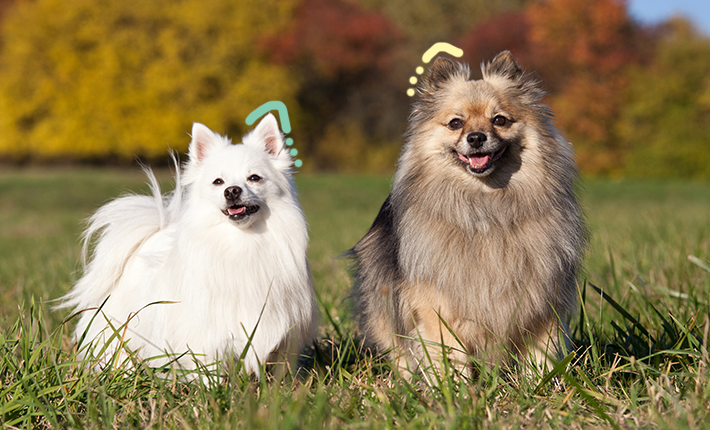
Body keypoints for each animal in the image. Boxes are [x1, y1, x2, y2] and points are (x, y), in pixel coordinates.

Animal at [61, 113, 318, 376]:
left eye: (254, 178)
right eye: (218, 182)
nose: (231, 191)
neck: (242, 241)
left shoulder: (283, 336)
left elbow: (281, 372)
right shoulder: (208, 335)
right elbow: (209, 371)